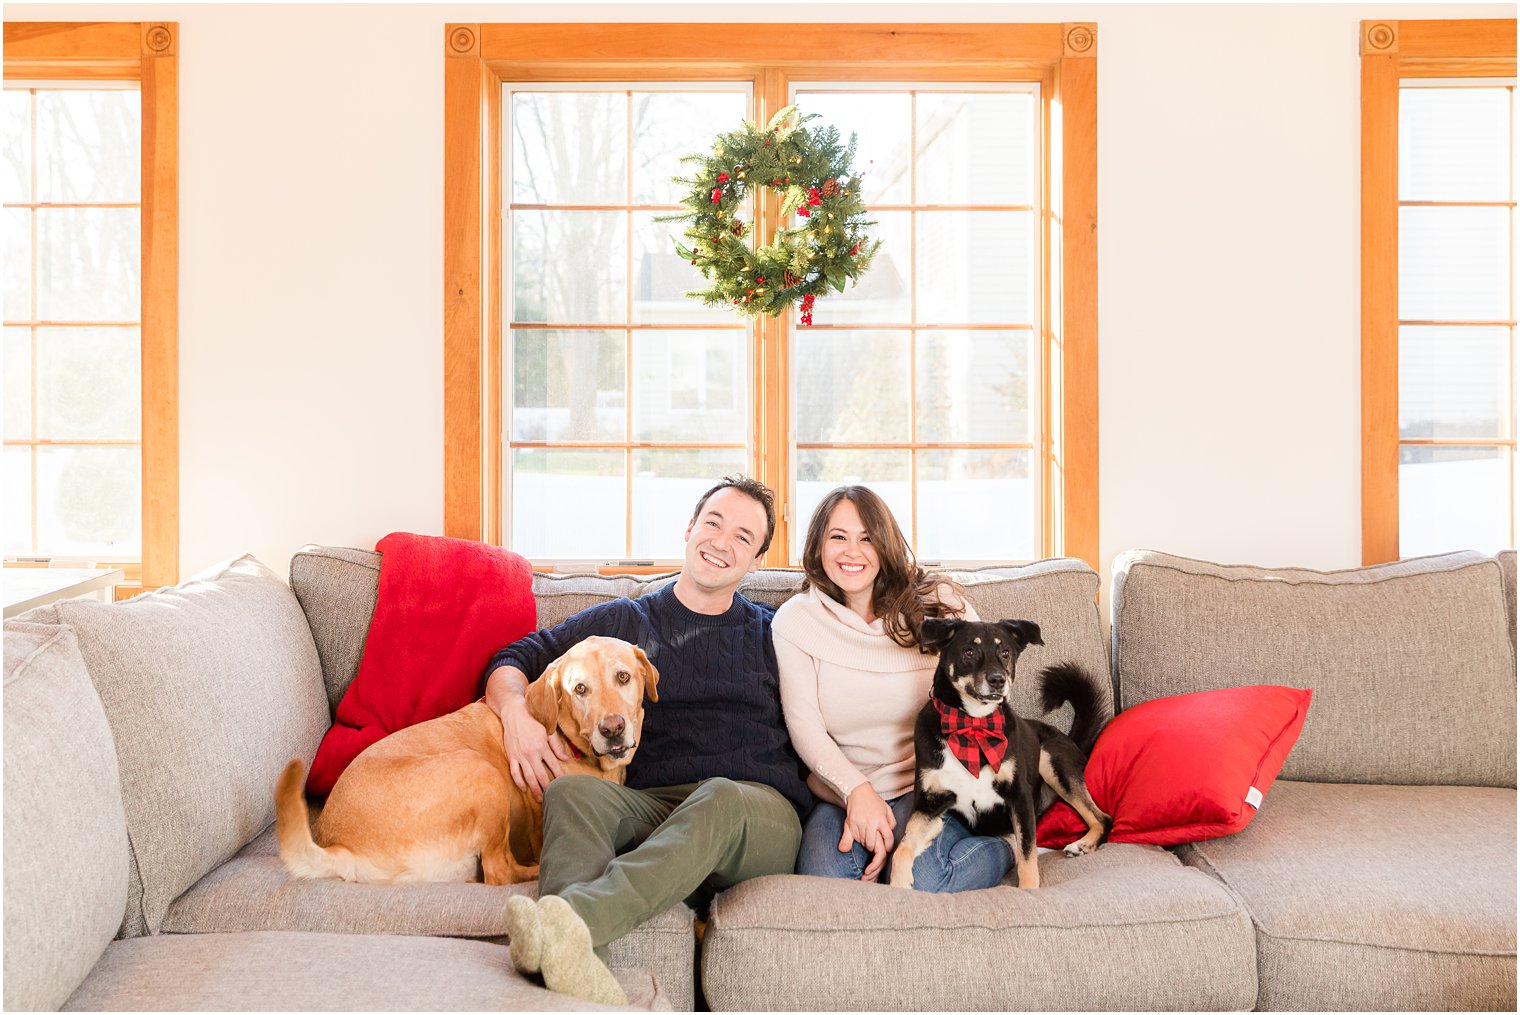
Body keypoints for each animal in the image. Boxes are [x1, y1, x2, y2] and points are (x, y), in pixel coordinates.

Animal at [273, 638, 653, 881]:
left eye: (622, 677)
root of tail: (341, 846)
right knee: (500, 872)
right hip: (480, 772)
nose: (612, 729)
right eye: (580, 690)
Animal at [887, 613, 1112, 893]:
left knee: (1103, 818)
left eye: (1005, 652)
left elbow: (1027, 855)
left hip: (1053, 762)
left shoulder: (1019, 798)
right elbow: (903, 847)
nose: (997, 679)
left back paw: (1082, 844)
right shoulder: (930, 803)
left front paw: (1029, 890)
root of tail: (1070, 740)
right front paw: (898, 885)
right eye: (969, 651)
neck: (973, 725)